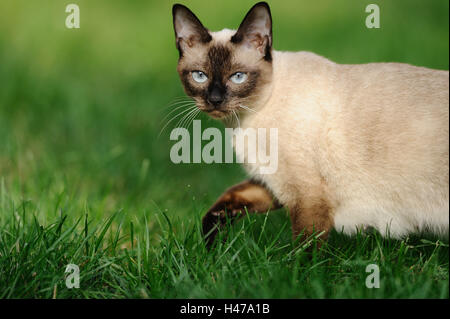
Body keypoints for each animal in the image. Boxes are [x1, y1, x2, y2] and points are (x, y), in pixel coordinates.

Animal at [171, 1, 448, 248]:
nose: (215, 100)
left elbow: (304, 257)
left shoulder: (308, 195)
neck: (243, 122)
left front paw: (290, 273)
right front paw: (209, 247)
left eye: (237, 77)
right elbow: (224, 203)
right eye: (200, 76)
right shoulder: (273, 183)